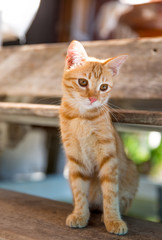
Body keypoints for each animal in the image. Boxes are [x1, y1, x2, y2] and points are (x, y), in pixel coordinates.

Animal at [60, 40, 139, 235]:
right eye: (82, 82)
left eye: (103, 87)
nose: (93, 99)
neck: (82, 118)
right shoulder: (75, 159)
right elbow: (79, 191)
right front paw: (80, 214)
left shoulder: (108, 158)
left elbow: (110, 193)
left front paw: (113, 220)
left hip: (132, 173)